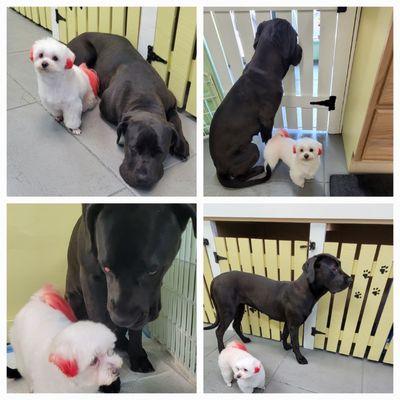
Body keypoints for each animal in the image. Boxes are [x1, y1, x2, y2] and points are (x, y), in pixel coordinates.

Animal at [66, 205, 196, 382]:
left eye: (153, 271)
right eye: (106, 268)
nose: (122, 319)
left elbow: (136, 330)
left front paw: (137, 356)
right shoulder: (91, 280)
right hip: (75, 299)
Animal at [68, 32, 190, 189]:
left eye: (160, 152)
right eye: (133, 148)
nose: (142, 178)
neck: (145, 98)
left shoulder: (172, 105)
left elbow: (177, 121)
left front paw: (181, 145)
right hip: (85, 52)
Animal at [205, 255, 352, 364]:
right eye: (334, 268)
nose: (350, 280)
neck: (305, 291)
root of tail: (215, 279)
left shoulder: (289, 322)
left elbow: (285, 334)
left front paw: (286, 347)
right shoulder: (294, 324)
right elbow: (296, 343)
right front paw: (299, 358)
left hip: (238, 309)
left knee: (235, 325)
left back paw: (245, 339)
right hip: (228, 311)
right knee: (219, 331)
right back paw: (222, 350)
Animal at [211, 18, 302, 188]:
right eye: (296, 36)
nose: (301, 48)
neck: (264, 65)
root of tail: (219, 169)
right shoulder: (267, 119)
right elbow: (268, 138)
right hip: (252, 149)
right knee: (240, 177)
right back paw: (258, 169)